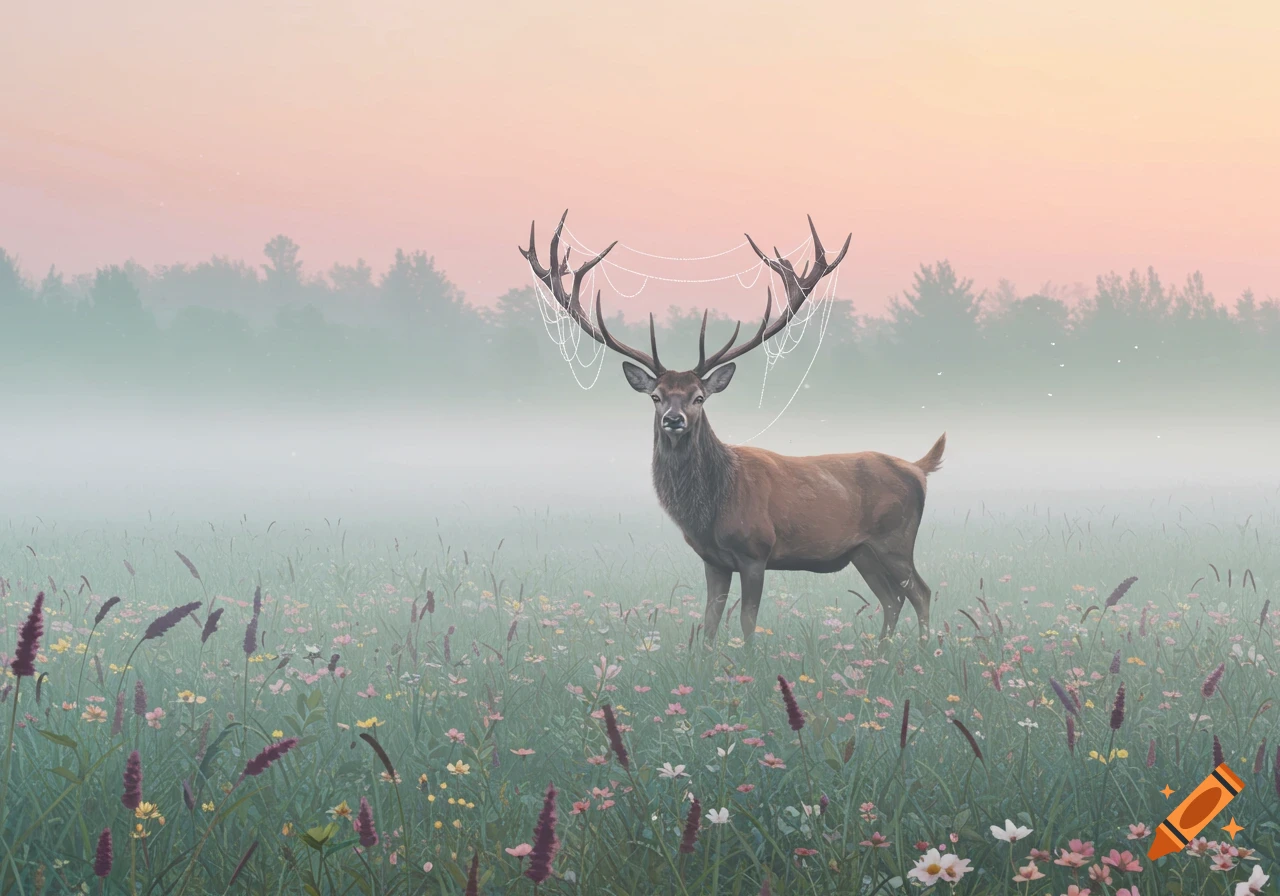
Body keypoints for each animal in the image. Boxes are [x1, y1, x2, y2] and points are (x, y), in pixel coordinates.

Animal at [519, 212, 945, 646]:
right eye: (656, 396)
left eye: (698, 397)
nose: (674, 420)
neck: (710, 509)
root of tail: (919, 469)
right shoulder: (713, 559)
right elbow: (709, 621)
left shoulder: (756, 551)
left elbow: (747, 620)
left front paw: (749, 656)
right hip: (862, 551)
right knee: (892, 599)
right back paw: (884, 650)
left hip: (895, 538)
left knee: (921, 592)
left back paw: (926, 649)